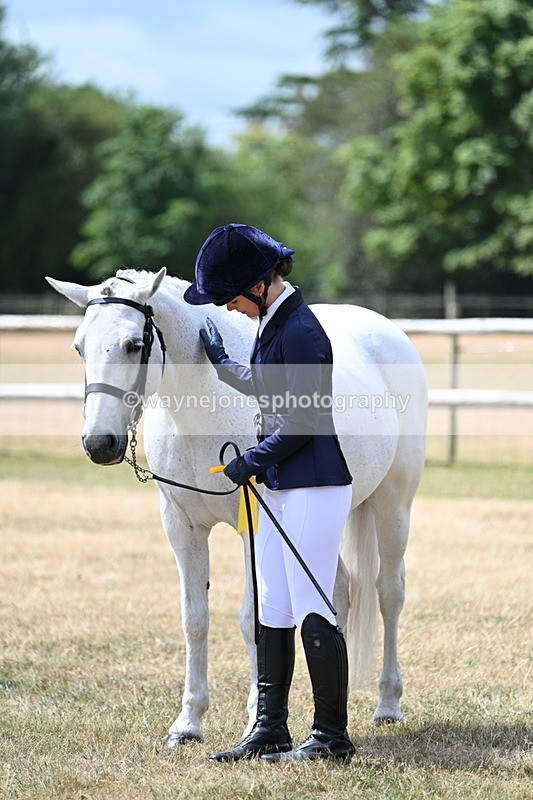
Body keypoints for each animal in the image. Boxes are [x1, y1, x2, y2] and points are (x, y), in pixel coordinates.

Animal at [46, 267, 427, 746]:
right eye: (79, 346)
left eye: (134, 344)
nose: (100, 443)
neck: (205, 408)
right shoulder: (182, 527)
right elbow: (194, 618)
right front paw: (187, 723)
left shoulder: (255, 528)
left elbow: (253, 621)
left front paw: (255, 722)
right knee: (335, 592)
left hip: (393, 504)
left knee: (389, 592)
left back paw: (388, 704)